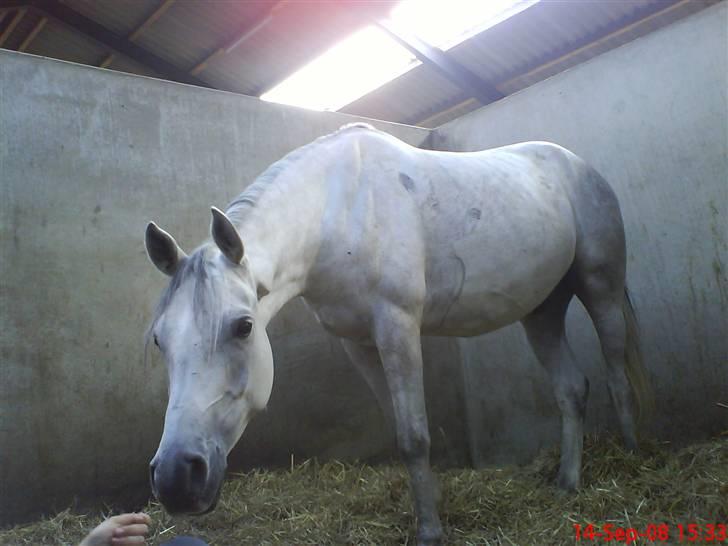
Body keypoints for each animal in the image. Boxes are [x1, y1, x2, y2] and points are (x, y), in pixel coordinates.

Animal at [144, 123, 648, 544]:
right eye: (158, 340)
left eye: (244, 327)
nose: (176, 478)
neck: (340, 211)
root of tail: (578, 165)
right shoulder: (359, 343)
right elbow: (397, 424)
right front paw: (434, 503)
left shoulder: (398, 326)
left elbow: (414, 435)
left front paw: (430, 531)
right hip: (541, 310)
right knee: (571, 389)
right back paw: (567, 483)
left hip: (600, 288)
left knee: (617, 373)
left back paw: (633, 460)